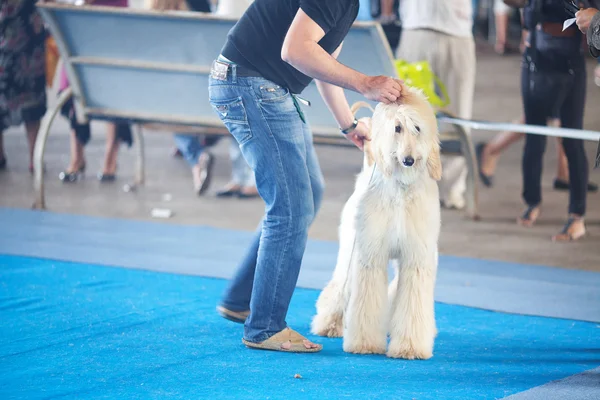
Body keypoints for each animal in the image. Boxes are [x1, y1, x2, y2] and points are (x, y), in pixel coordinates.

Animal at [312, 85, 442, 360]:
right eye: (397, 128)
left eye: (418, 128)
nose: (408, 159)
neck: (402, 190)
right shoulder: (370, 255)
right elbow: (365, 302)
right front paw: (365, 344)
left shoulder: (416, 258)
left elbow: (412, 302)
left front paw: (410, 346)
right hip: (349, 249)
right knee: (339, 288)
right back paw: (329, 324)